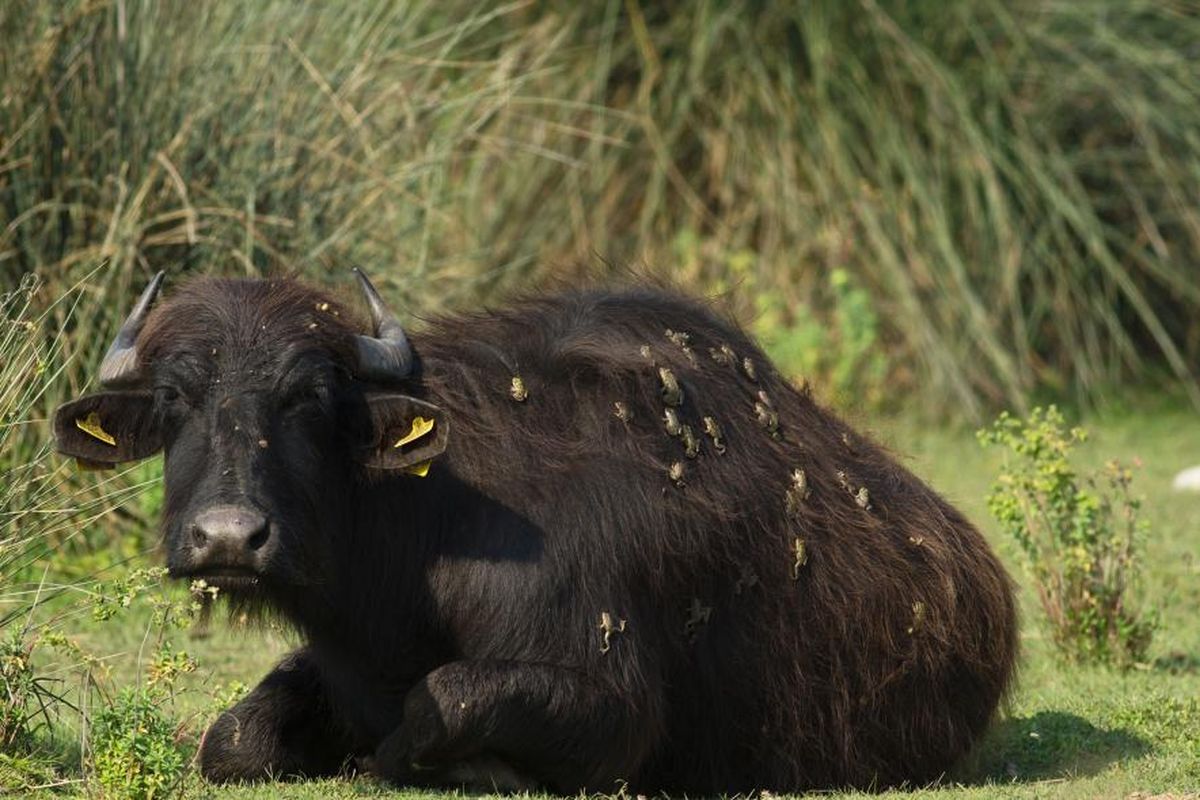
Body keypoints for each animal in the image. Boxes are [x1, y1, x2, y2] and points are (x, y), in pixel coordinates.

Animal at [51, 271, 1017, 796]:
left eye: (310, 398)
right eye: (173, 398)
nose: (228, 539)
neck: (422, 532)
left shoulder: (612, 713)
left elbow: (436, 705)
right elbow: (233, 739)